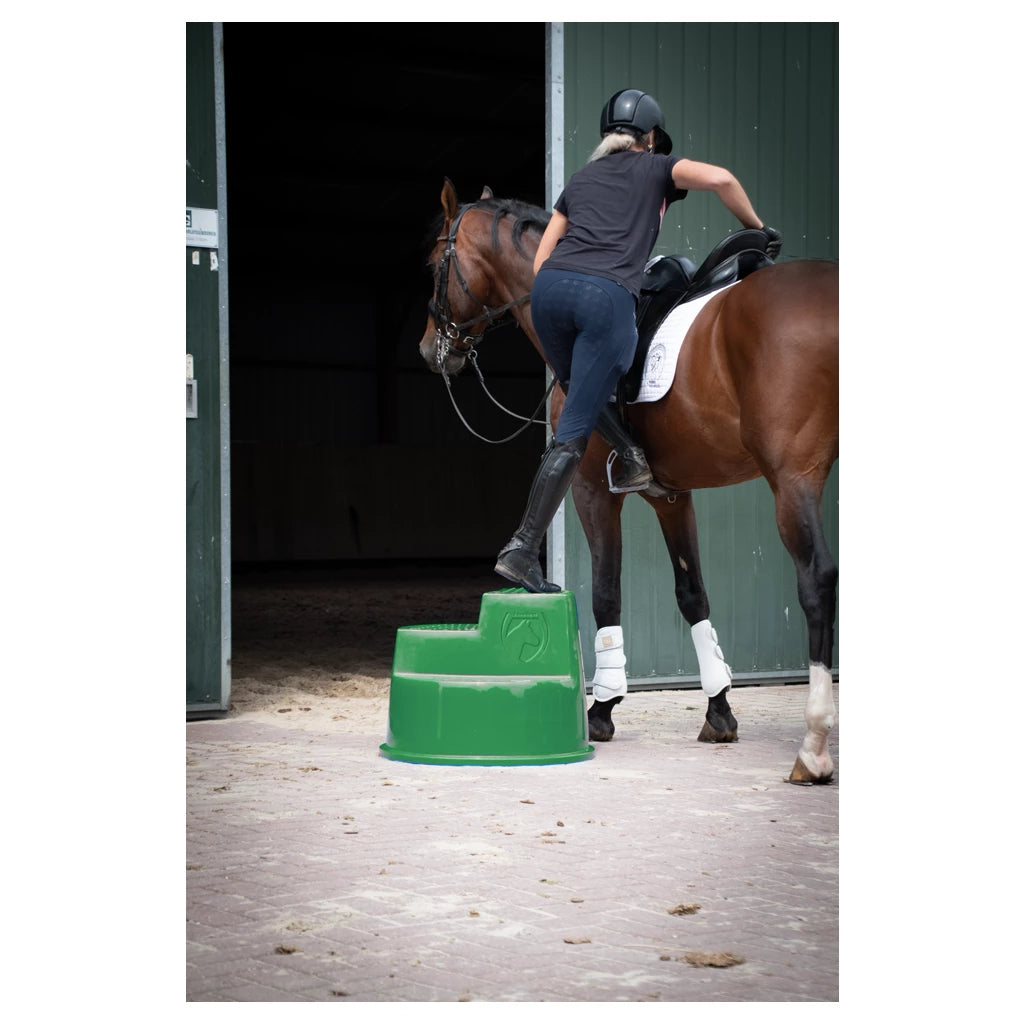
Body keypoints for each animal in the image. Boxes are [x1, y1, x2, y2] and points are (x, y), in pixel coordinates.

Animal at [419, 179, 839, 785]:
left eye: (435, 265)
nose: (431, 349)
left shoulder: (593, 490)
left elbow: (606, 592)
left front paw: (602, 706)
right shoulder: (672, 496)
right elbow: (693, 594)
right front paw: (718, 709)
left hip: (793, 480)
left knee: (816, 582)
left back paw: (813, 745)